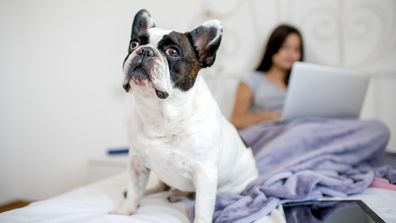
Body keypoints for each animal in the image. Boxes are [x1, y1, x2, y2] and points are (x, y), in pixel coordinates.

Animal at [113, 9, 258, 222]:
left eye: (172, 52)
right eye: (134, 44)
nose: (145, 51)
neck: (160, 113)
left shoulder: (204, 174)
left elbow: (202, 209)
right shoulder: (137, 164)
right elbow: (134, 190)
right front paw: (123, 212)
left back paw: (176, 194)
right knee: (158, 186)